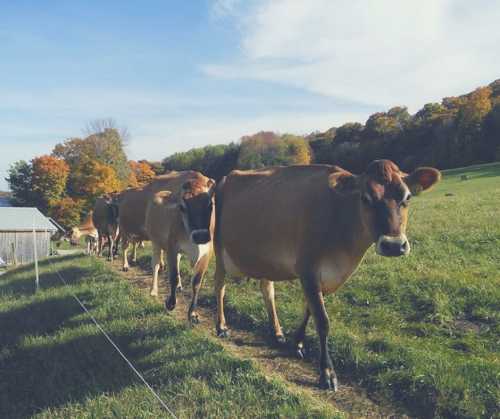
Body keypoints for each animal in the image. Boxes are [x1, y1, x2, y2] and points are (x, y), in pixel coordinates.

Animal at [145, 172, 215, 324]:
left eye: (210, 204)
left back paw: (178, 287)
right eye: (182, 207)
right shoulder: (172, 246)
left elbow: (196, 282)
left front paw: (193, 313)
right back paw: (153, 291)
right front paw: (170, 303)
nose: (200, 235)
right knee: (156, 265)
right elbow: (173, 277)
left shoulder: (207, 253)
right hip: (155, 241)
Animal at [213, 160, 440, 390]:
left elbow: (309, 310)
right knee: (219, 286)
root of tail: (225, 177)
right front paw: (327, 372)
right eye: (365, 198)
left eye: (407, 197)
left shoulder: (321, 277)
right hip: (219, 248)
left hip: (263, 259)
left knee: (267, 290)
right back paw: (221, 326)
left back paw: (277, 333)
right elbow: (322, 321)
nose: (393, 245)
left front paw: (298, 343)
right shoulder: (308, 270)